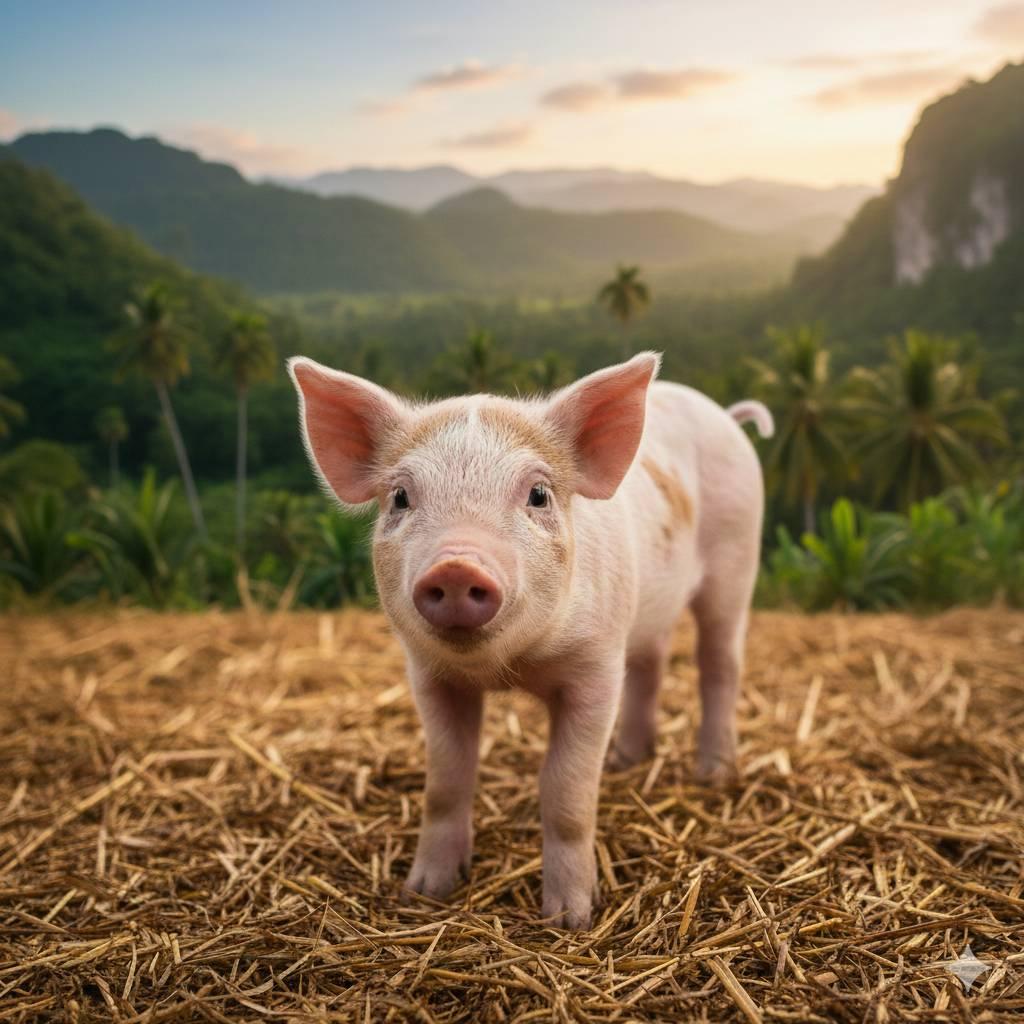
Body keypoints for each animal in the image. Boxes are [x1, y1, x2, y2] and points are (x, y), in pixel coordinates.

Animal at [289, 353, 773, 928]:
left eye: (538, 494)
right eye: (400, 497)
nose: (457, 566)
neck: (510, 668)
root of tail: (724, 415)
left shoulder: (594, 668)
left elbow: (565, 789)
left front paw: (569, 919)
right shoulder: (429, 676)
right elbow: (446, 780)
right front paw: (423, 894)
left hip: (736, 561)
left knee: (720, 663)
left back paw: (713, 775)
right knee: (651, 665)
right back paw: (625, 761)